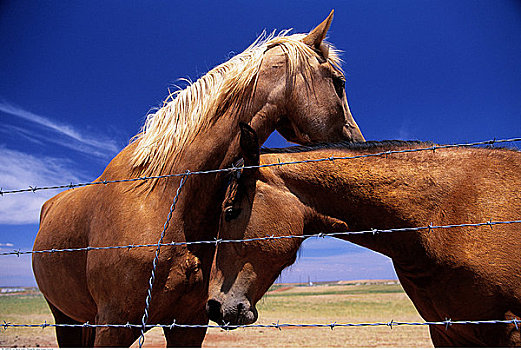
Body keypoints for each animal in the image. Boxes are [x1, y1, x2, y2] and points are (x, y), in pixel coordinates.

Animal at [30, 11, 364, 348]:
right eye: (339, 82)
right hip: (65, 318)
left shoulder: (190, 323)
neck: (166, 197)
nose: (358, 144)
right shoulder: (114, 325)